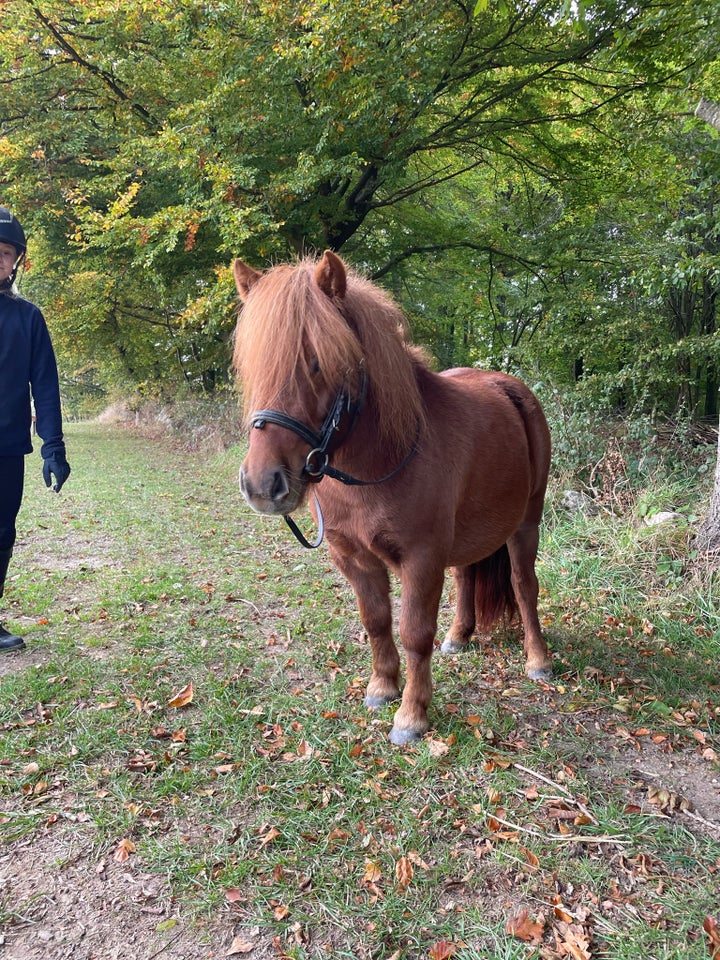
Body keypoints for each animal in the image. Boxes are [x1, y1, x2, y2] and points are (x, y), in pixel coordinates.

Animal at [231, 251, 552, 748]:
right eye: (253, 366)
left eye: (318, 362)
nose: (264, 485)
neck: (377, 464)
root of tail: (511, 388)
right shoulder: (354, 558)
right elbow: (376, 621)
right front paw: (382, 687)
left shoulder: (421, 559)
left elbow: (414, 633)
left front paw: (412, 716)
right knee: (466, 577)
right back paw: (459, 636)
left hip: (525, 524)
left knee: (523, 585)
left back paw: (538, 660)